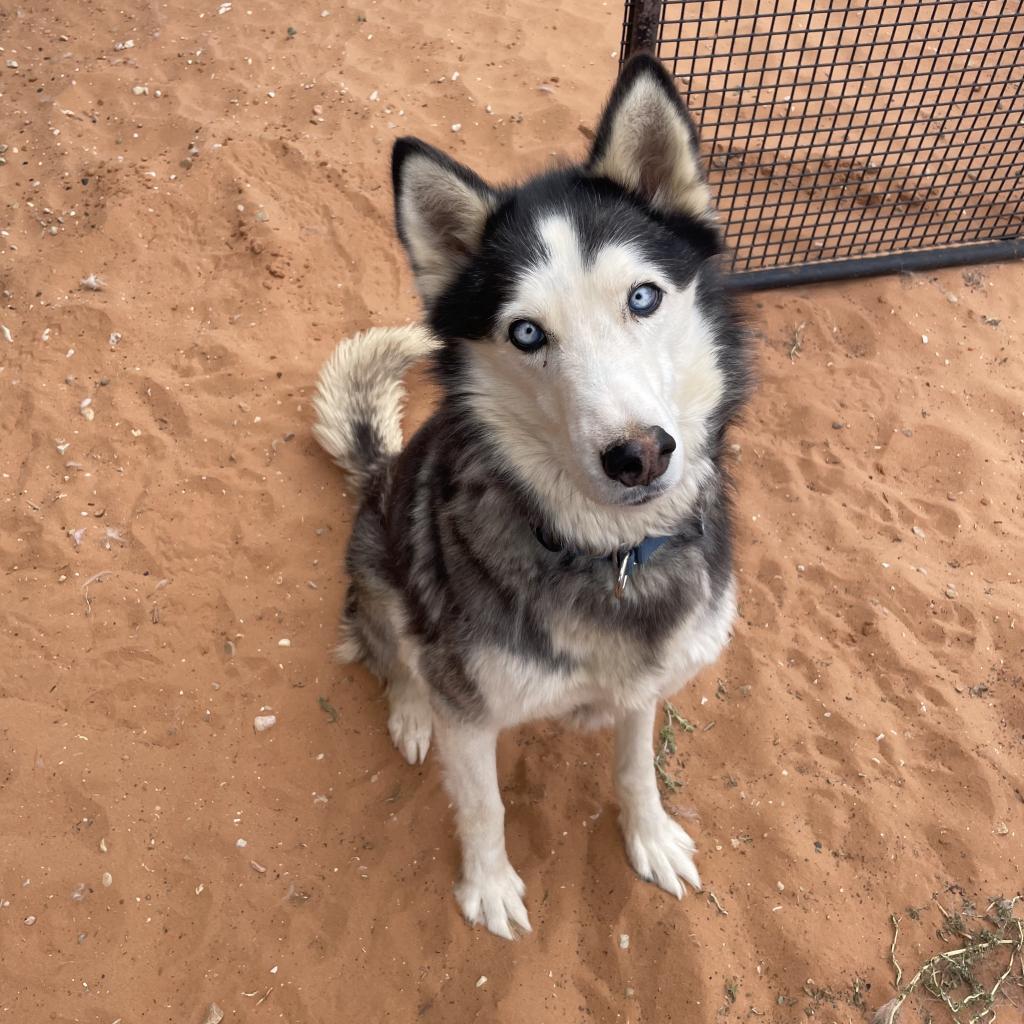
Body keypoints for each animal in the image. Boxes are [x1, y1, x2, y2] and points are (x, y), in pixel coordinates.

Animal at [311, 54, 753, 937]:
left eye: (643, 297)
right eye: (526, 334)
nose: (637, 455)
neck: (609, 559)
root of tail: (379, 473)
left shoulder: (647, 680)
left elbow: (635, 764)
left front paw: (649, 837)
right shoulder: (471, 708)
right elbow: (483, 808)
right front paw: (488, 889)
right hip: (379, 563)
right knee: (389, 650)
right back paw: (408, 711)